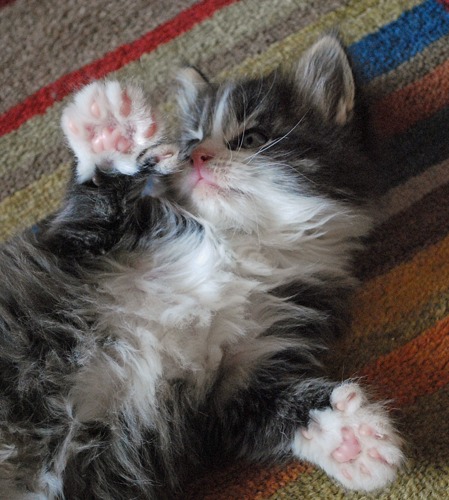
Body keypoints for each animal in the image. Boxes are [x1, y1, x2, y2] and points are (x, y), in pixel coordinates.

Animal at [0, 33, 402, 498]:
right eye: (191, 139)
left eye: (251, 137)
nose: (194, 155)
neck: (233, 247)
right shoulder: (69, 246)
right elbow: (90, 206)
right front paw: (111, 137)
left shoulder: (241, 373)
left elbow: (272, 406)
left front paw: (349, 435)